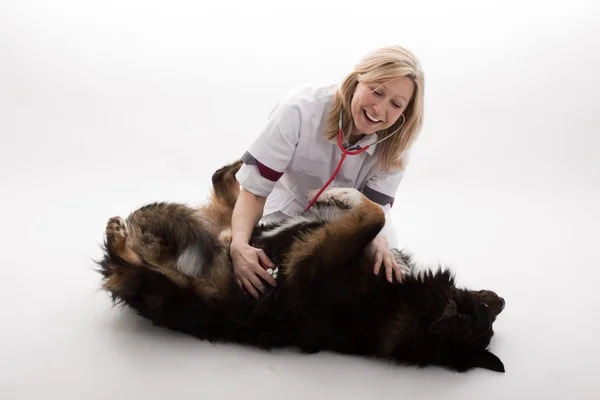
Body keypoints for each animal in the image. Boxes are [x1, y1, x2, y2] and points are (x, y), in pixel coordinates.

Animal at [98, 159, 506, 372]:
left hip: (162, 289)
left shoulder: (314, 258)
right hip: (237, 221)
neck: (401, 305)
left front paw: (343, 195)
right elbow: (374, 218)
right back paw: (240, 166)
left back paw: (118, 237)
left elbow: (374, 214)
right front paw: (339, 197)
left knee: (129, 266)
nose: (501, 299)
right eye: (487, 310)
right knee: (231, 186)